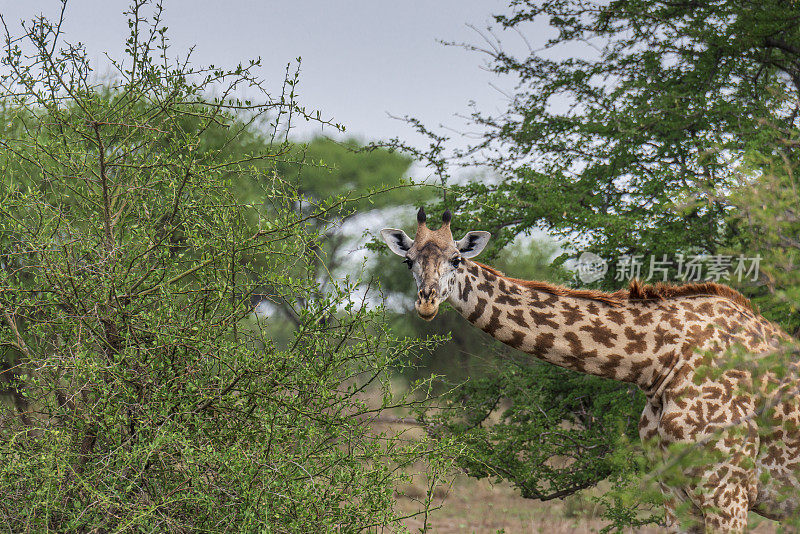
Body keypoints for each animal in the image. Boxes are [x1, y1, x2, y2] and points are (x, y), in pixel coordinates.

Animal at [382, 209, 800, 534]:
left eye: (456, 259)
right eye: (408, 261)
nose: (426, 302)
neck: (659, 363)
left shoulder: (727, 490)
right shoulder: (673, 490)